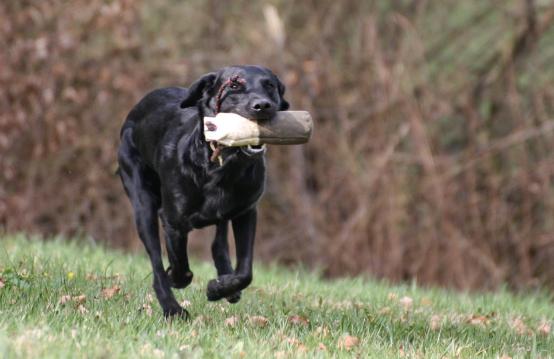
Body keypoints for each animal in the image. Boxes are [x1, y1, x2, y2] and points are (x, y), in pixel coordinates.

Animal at [117, 65, 288, 318]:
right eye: (234, 85)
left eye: (270, 86)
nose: (263, 105)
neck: (223, 167)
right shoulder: (173, 221)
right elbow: (181, 267)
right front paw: (176, 279)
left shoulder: (246, 212)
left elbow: (245, 271)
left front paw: (219, 288)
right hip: (142, 203)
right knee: (156, 262)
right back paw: (172, 308)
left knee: (218, 243)